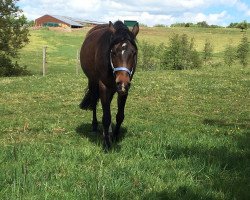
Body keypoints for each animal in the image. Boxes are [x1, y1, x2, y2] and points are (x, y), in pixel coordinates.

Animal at [79, 20, 139, 148]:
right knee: (94, 101)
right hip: (93, 82)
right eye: (113, 52)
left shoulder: (124, 90)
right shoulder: (104, 86)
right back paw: (95, 126)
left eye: (134, 53)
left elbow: (119, 116)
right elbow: (106, 117)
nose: (122, 82)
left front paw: (115, 136)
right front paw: (106, 143)